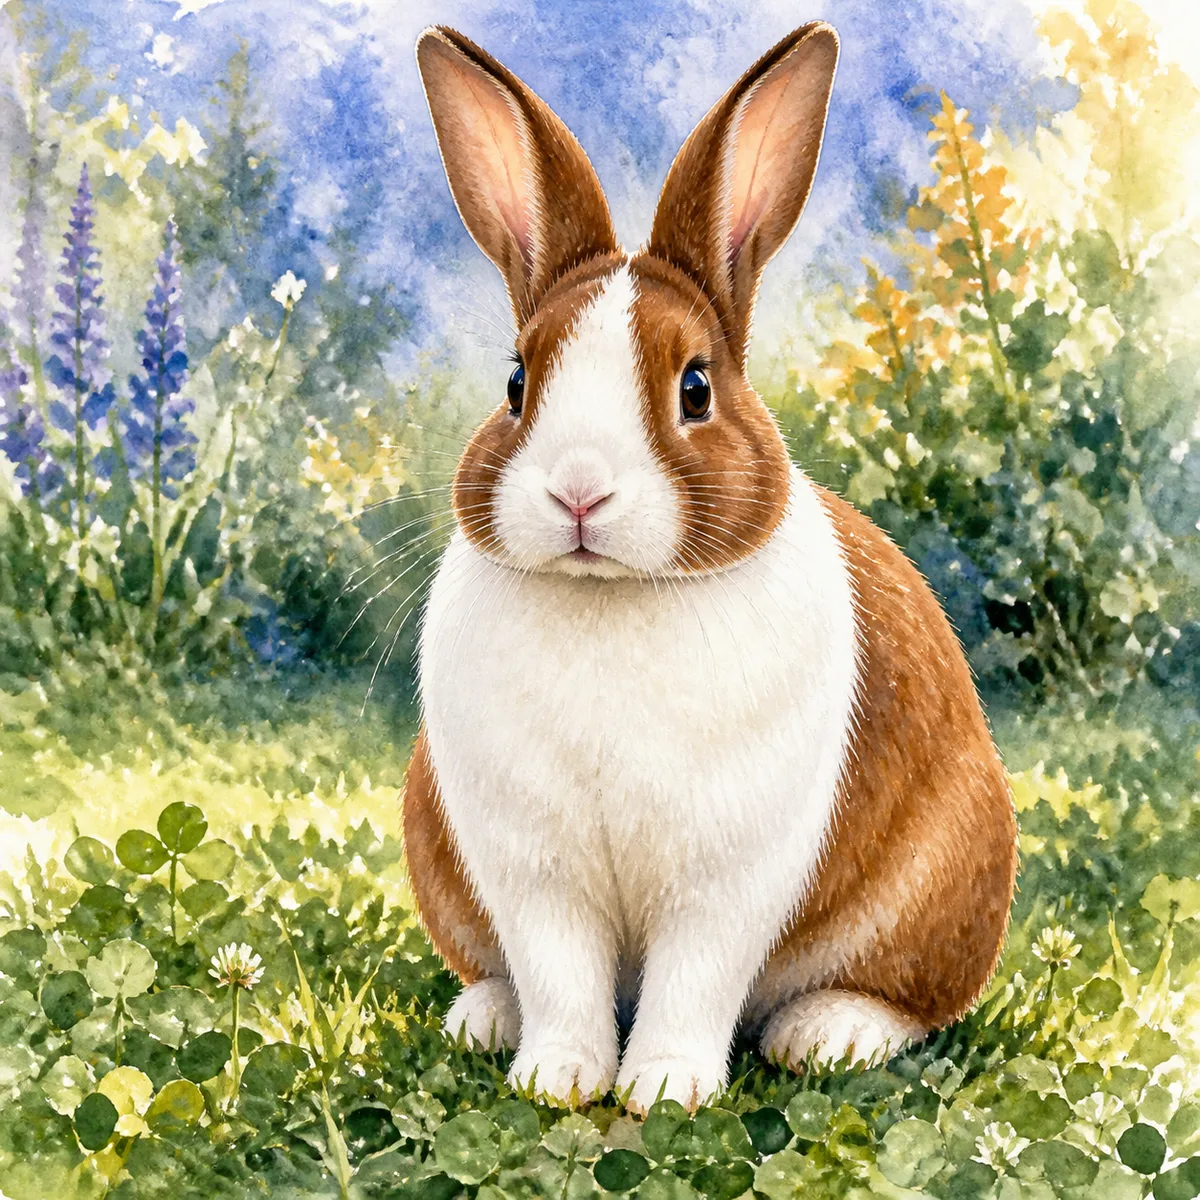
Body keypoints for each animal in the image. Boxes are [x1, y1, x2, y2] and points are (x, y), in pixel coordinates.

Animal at [404, 20, 1018, 1115]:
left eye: (695, 387)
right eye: (516, 381)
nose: (579, 492)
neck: (611, 600)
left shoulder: (729, 878)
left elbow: (696, 979)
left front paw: (662, 1090)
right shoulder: (533, 870)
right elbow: (560, 974)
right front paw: (559, 1078)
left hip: (945, 885)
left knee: (911, 999)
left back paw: (829, 1033)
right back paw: (486, 1017)